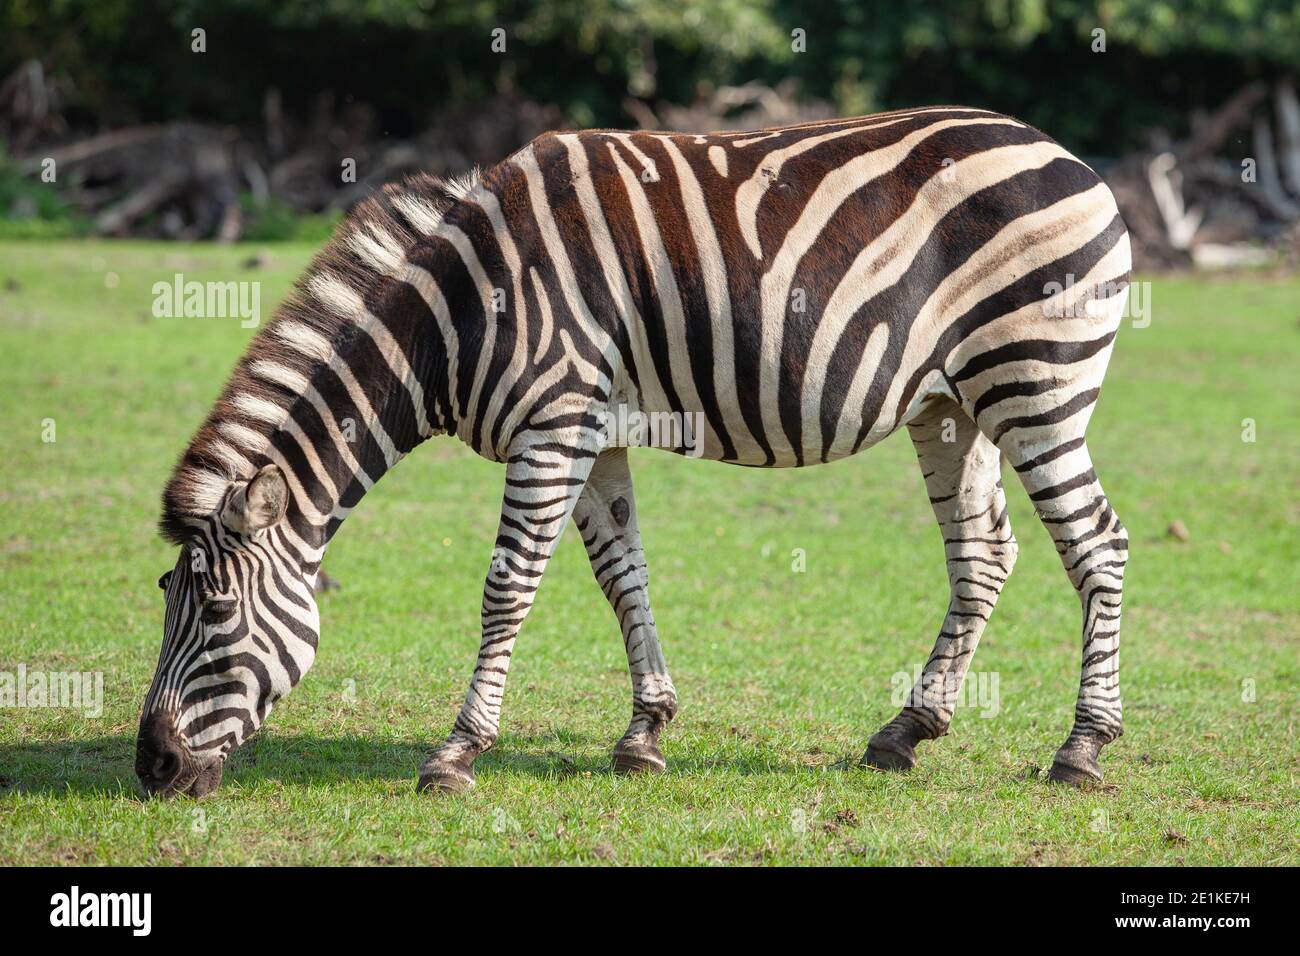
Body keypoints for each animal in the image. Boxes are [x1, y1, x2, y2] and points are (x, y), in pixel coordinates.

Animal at [134, 102, 1128, 801]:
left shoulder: (550, 424)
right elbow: (622, 573)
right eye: (166, 595)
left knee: (1097, 544)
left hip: (1035, 382)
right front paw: (645, 732)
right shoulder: (589, 431)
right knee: (983, 553)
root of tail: (1071, 157)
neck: (460, 315)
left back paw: (1081, 748)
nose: (151, 769)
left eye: (214, 611)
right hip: (950, 404)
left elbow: (507, 588)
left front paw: (456, 753)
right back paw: (906, 731)